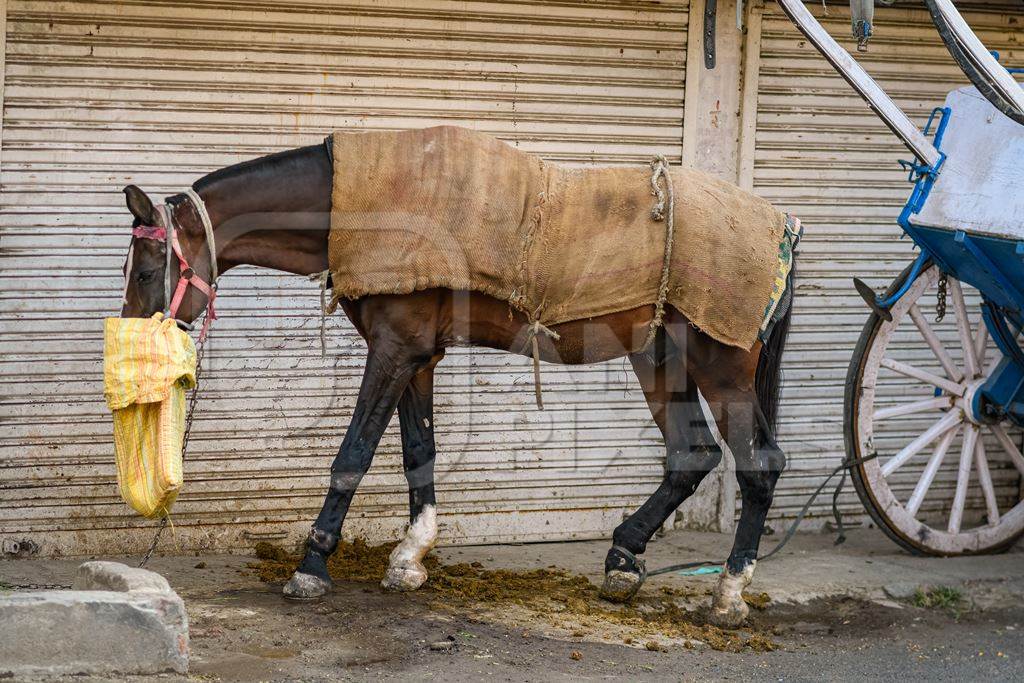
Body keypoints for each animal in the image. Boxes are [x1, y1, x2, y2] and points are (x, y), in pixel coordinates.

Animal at [117, 137, 790, 626]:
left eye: (148, 268)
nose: (136, 338)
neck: (357, 203)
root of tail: (782, 225)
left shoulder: (393, 352)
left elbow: (353, 455)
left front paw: (312, 564)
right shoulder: (418, 357)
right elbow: (419, 452)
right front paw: (410, 557)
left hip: (721, 368)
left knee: (759, 464)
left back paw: (728, 594)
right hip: (659, 360)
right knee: (691, 454)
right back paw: (624, 559)